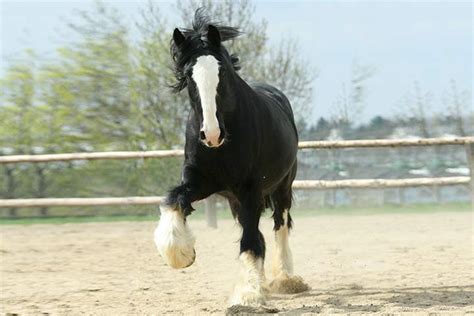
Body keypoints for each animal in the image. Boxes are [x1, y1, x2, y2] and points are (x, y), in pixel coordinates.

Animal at [154, 9, 310, 306]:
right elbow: (173, 200)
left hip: (282, 185)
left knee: (280, 225)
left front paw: (247, 295)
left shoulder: (251, 188)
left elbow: (250, 240)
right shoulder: (199, 182)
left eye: (221, 72)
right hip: (235, 199)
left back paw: (285, 279)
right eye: (189, 76)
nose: (212, 134)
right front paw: (183, 254)